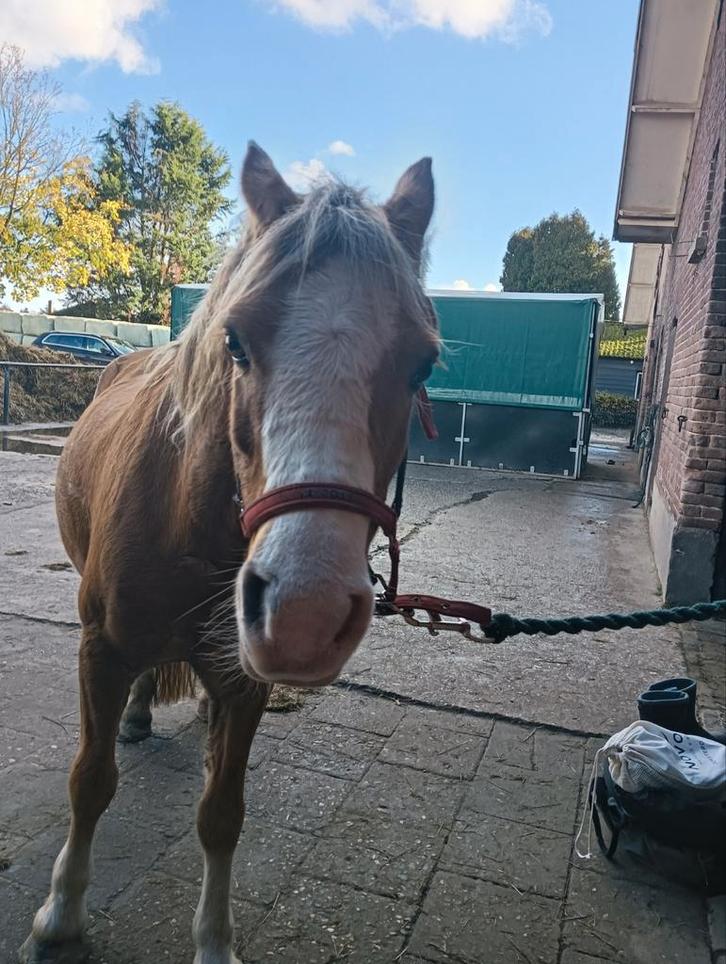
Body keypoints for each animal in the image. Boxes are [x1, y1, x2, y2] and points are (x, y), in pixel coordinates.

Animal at [20, 143, 438, 964]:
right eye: (235, 341)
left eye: (424, 366)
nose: (306, 614)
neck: (188, 516)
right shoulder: (100, 649)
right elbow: (90, 781)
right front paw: (60, 915)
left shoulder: (246, 681)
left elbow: (222, 812)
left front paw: (215, 940)